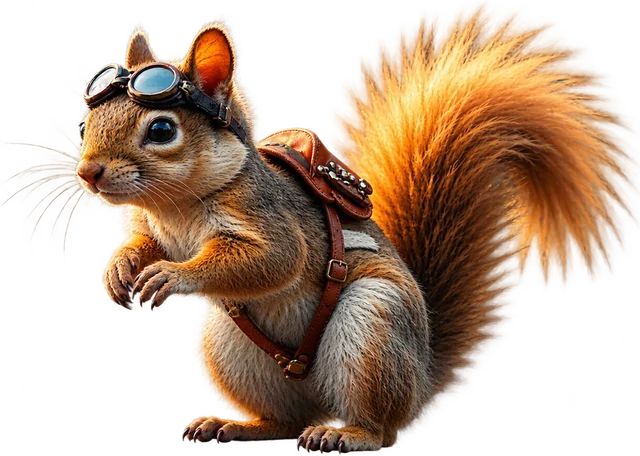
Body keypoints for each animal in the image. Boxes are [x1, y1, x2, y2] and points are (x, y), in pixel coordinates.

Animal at [13, 0, 635, 453]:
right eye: (88, 120)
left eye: (162, 130)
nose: (88, 172)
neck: (179, 206)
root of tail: (418, 380)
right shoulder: (149, 222)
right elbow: (140, 243)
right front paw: (119, 269)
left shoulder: (273, 219)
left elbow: (272, 260)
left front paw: (171, 276)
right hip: (223, 344)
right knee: (282, 423)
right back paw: (232, 425)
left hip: (373, 327)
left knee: (377, 429)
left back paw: (346, 435)